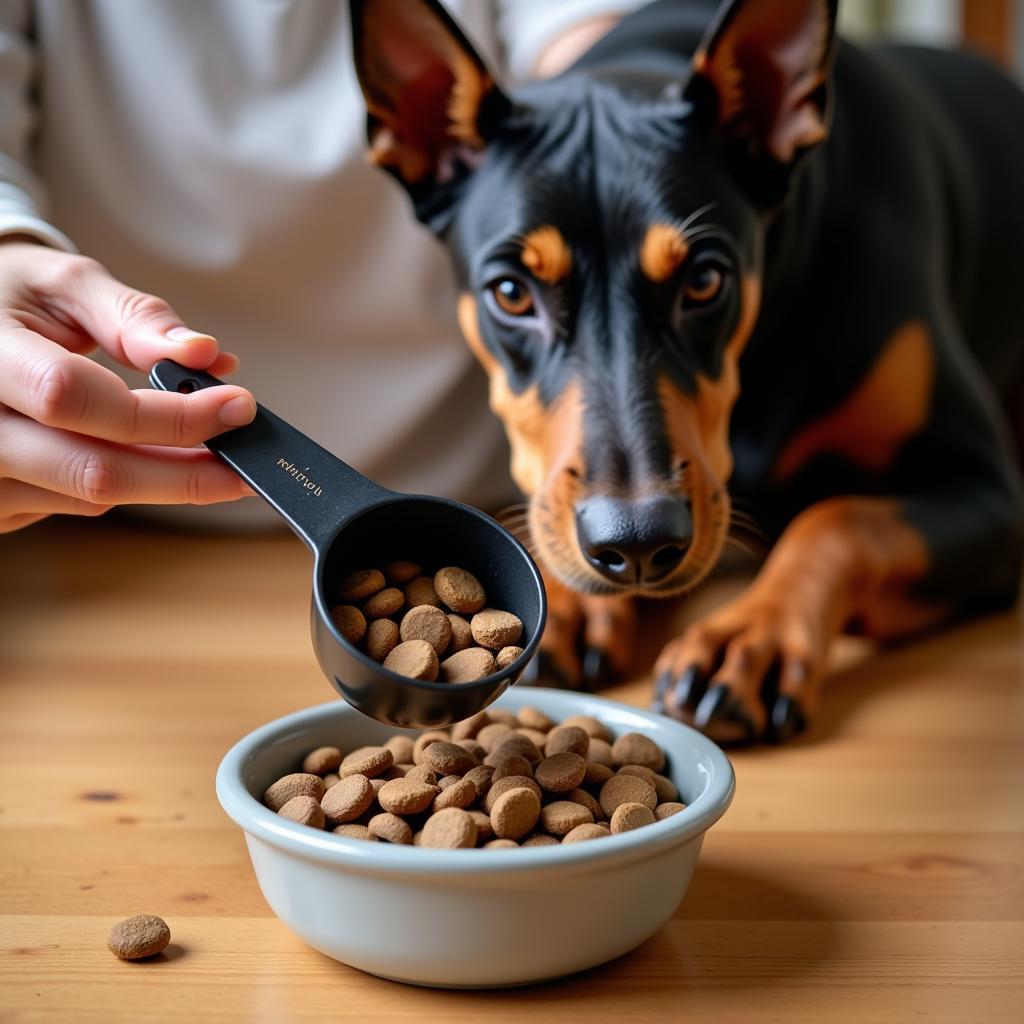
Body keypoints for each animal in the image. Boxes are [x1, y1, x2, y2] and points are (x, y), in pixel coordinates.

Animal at [348, 0, 1019, 741]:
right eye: (512, 294)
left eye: (704, 281)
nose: (637, 543)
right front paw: (565, 599)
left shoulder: (989, 492)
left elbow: (841, 518)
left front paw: (750, 637)